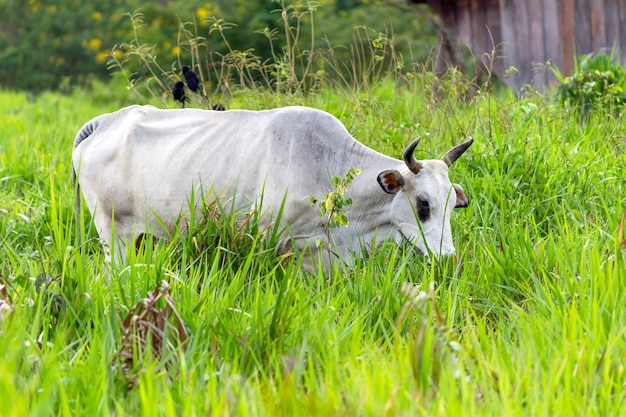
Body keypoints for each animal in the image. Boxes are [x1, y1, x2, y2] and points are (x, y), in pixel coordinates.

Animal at [72, 105, 468, 270]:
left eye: (453, 205)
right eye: (423, 204)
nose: (449, 258)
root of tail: (106, 121)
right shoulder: (267, 237)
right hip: (113, 233)